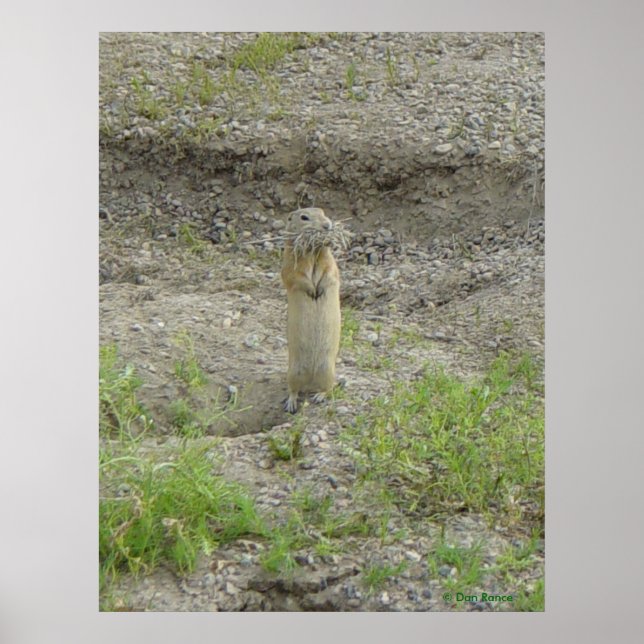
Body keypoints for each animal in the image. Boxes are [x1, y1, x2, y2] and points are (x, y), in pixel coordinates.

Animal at [281, 207, 341, 413]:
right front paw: (312, 290)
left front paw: (319, 290)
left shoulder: (330, 263)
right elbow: (296, 277)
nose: (327, 225)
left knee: (329, 388)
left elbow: (330, 274)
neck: (314, 252)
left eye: (323, 212)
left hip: (328, 370)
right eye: (304, 217)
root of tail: (310, 382)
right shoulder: (290, 264)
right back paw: (291, 404)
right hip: (293, 371)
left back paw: (318, 397)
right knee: (293, 389)